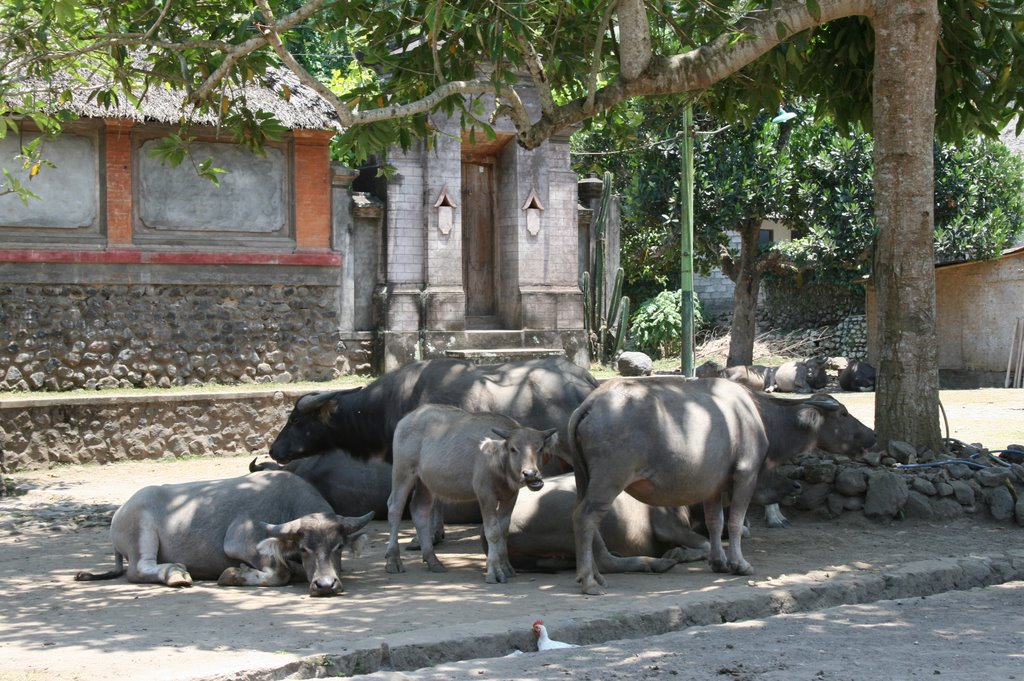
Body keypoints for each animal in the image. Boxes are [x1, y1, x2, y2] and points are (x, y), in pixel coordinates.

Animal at [75, 466, 374, 593]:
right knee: (138, 569)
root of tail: (121, 511)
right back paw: (176, 574)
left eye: (338, 547)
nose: (325, 585)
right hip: (142, 533)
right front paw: (234, 574)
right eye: (304, 548)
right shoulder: (241, 541)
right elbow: (281, 572)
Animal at [385, 403, 557, 585]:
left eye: (540, 448)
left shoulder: (510, 496)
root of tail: (407, 418)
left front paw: (506, 567)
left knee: (420, 510)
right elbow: (493, 531)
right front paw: (494, 572)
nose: (530, 474)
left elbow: (503, 530)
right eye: (513, 448)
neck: (498, 461)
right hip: (403, 472)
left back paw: (433, 561)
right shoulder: (485, 494)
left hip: (426, 482)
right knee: (395, 508)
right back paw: (393, 560)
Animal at [569, 374, 872, 593]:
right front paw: (739, 564)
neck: (756, 415)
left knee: (584, 520)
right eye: (843, 414)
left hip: (584, 479)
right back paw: (589, 581)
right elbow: (736, 521)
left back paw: (595, 575)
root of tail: (590, 404)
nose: (871, 436)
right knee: (586, 518)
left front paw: (719, 561)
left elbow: (716, 521)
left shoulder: (712, 486)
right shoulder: (746, 475)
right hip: (609, 480)